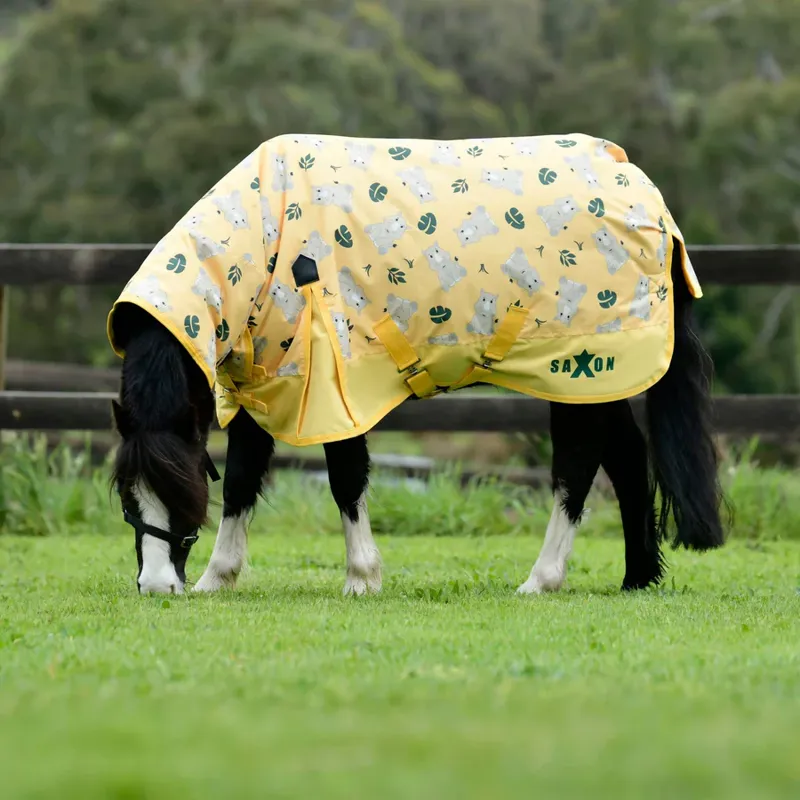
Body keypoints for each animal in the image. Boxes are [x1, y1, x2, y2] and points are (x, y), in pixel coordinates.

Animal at [108, 132, 725, 595]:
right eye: (127, 495)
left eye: (179, 491)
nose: (157, 586)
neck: (268, 239)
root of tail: (641, 188)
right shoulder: (263, 385)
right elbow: (240, 481)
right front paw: (218, 578)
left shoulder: (334, 385)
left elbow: (345, 479)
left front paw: (362, 578)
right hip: (598, 378)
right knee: (627, 458)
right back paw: (636, 577)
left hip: (577, 372)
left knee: (576, 469)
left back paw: (541, 579)